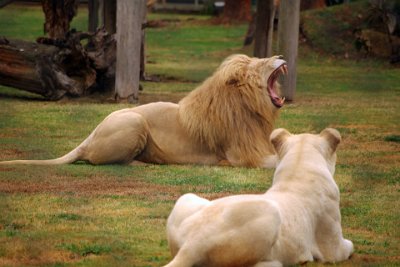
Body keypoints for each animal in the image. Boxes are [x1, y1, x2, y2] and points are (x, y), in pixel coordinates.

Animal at [0, 53, 288, 169]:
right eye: (262, 62)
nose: (280, 56)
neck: (251, 107)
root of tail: (90, 135)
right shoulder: (240, 156)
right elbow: (275, 161)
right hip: (134, 120)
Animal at [165, 129, 354, 266]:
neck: (297, 171)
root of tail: (191, 246)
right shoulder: (333, 249)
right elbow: (349, 246)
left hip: (186, 198)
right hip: (270, 212)